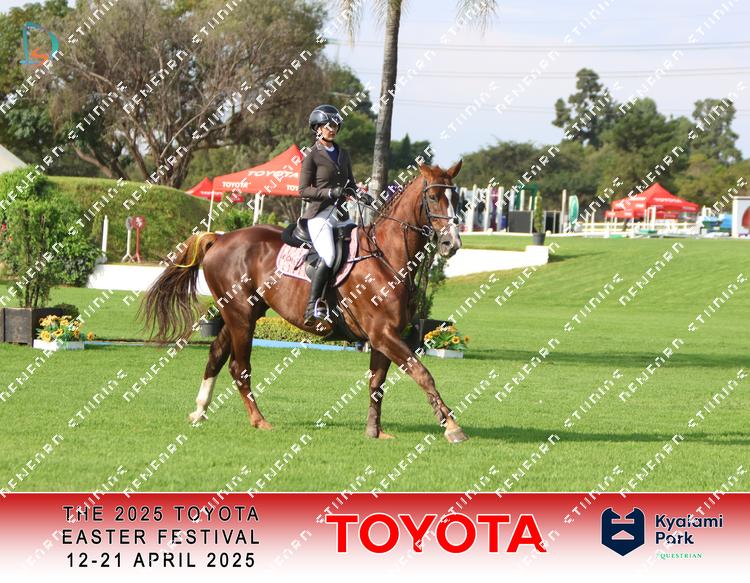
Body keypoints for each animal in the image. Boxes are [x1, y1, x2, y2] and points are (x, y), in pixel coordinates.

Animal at [139, 160, 469, 443]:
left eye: (457, 199)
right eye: (434, 197)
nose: (452, 243)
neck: (386, 256)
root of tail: (220, 238)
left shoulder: (385, 336)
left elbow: (377, 384)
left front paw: (374, 431)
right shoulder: (383, 334)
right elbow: (423, 374)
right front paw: (452, 427)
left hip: (241, 313)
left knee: (216, 356)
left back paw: (199, 410)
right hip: (240, 316)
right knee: (239, 367)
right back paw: (258, 420)